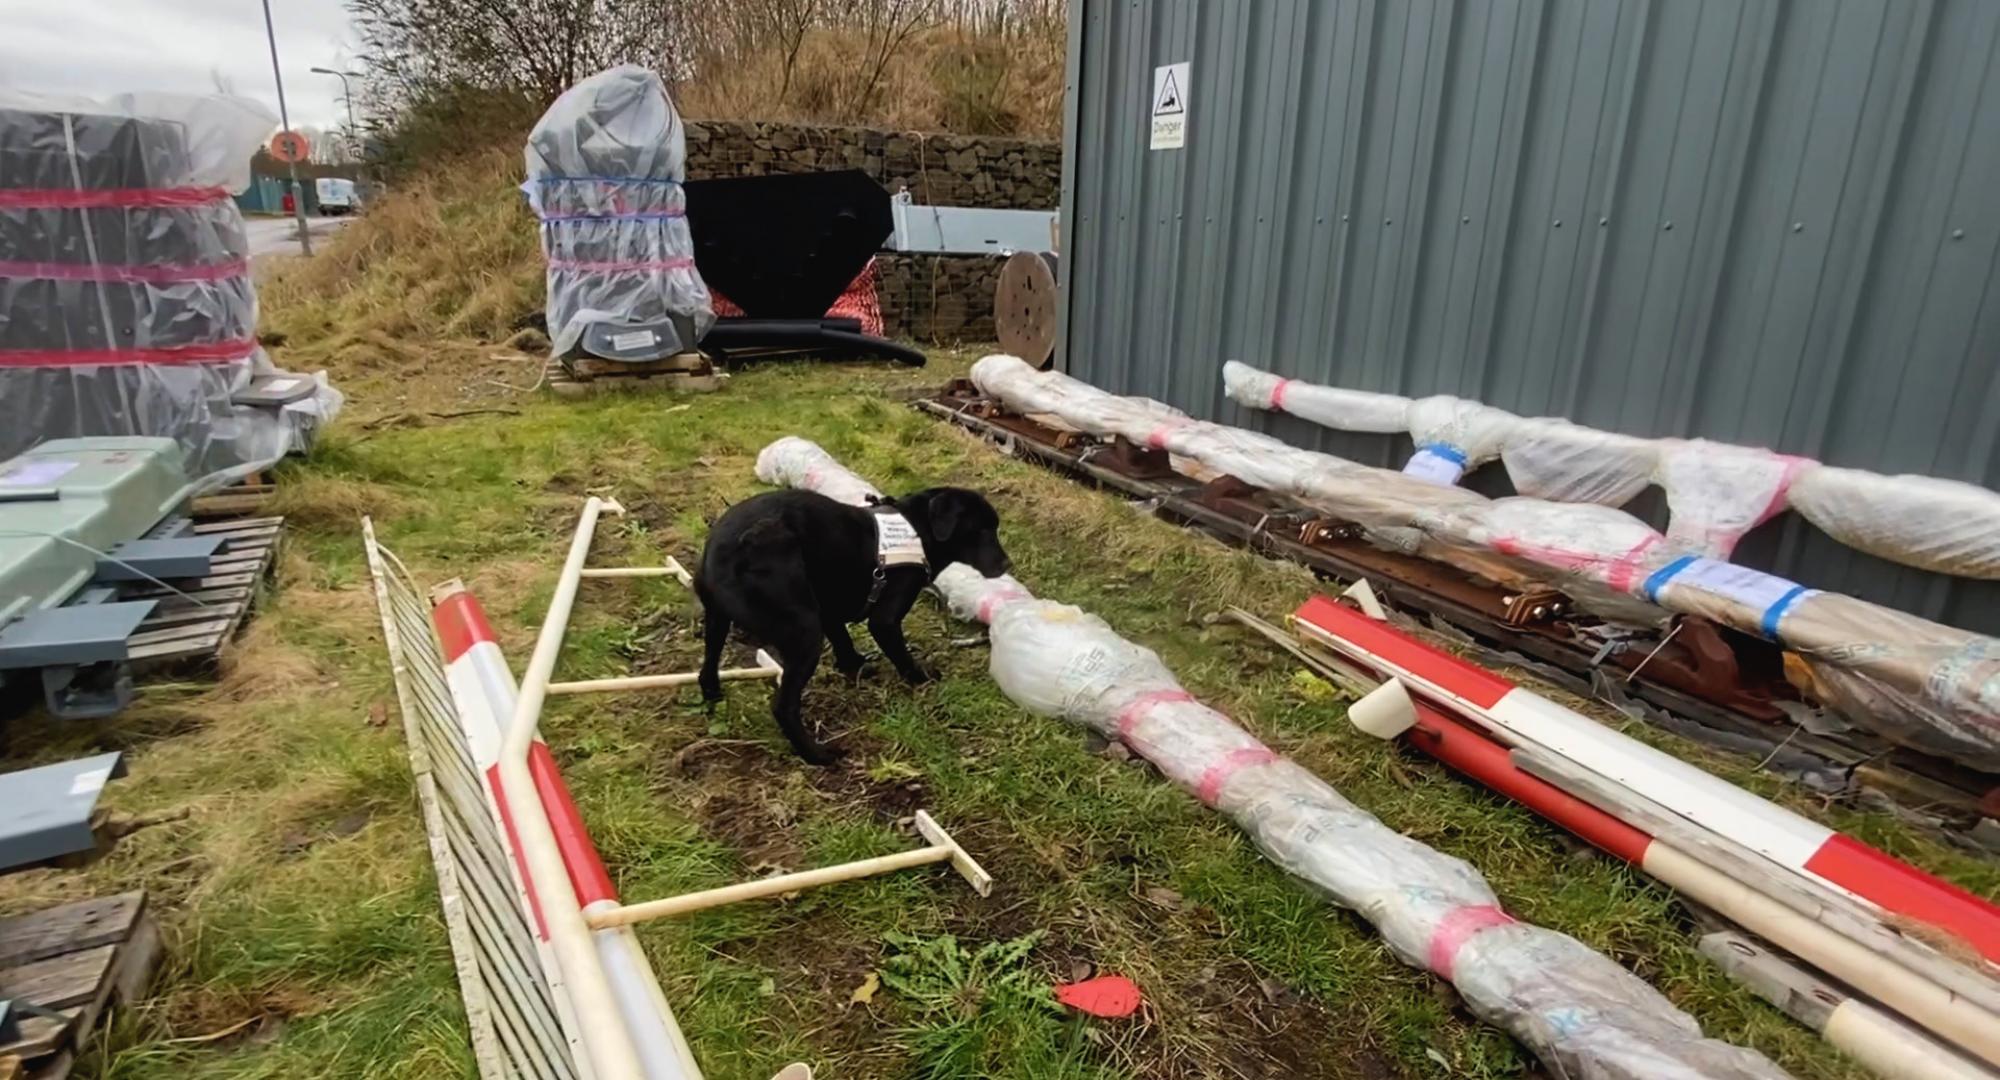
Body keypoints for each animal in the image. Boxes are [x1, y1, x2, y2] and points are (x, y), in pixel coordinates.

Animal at [696, 486, 1008, 764]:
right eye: (982, 530)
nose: (1007, 564)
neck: (918, 529)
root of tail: (721, 551)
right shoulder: (884, 621)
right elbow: (902, 655)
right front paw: (921, 677)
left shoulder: (828, 609)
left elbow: (843, 640)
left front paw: (855, 666)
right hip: (805, 632)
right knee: (783, 707)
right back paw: (816, 755)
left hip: (719, 622)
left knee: (707, 669)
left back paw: (713, 700)